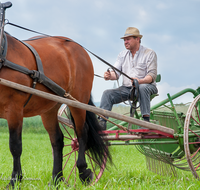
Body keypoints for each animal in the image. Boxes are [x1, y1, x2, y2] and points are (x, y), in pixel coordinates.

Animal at [0, 31, 111, 188]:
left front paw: (14, 181)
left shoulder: (14, 108)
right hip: (49, 108)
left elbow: (15, 145)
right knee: (57, 140)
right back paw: (56, 179)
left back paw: (83, 172)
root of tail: (76, 46)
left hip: (77, 101)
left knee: (82, 132)